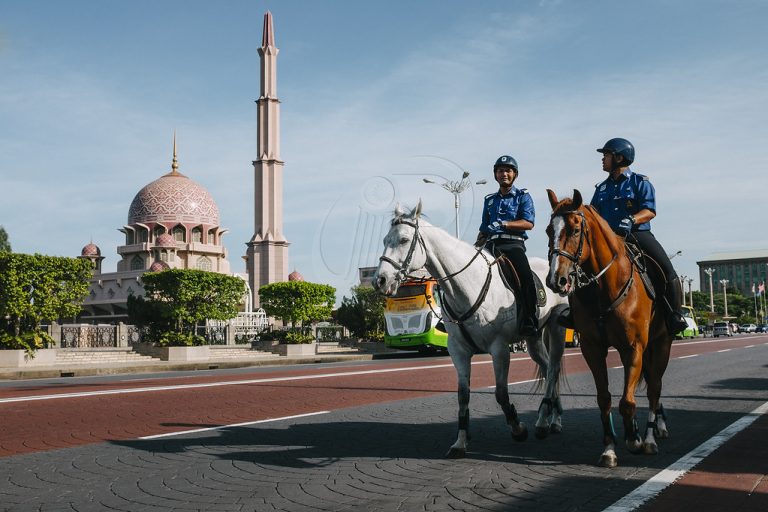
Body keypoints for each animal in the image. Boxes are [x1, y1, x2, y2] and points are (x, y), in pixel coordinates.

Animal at [372, 202, 568, 458]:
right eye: (385, 239)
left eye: (404, 240)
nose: (380, 280)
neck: (466, 285)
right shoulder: (458, 350)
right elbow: (462, 396)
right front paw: (460, 442)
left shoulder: (499, 348)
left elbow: (501, 393)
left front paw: (518, 429)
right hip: (533, 338)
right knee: (546, 369)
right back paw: (551, 418)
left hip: (556, 327)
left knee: (553, 369)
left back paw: (549, 421)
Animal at [540, 189, 672, 468]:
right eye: (548, 230)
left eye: (575, 229)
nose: (556, 280)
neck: (604, 287)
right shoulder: (592, 348)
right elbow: (605, 399)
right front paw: (610, 448)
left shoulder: (634, 347)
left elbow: (628, 401)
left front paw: (634, 439)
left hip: (661, 344)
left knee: (654, 388)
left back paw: (650, 437)